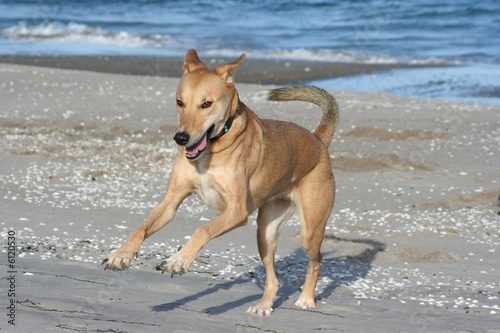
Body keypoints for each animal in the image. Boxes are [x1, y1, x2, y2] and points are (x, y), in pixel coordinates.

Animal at [104, 48, 342, 314]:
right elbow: (141, 228)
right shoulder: (171, 202)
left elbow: (202, 229)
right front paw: (121, 255)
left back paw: (307, 299)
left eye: (206, 104)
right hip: (265, 233)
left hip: (310, 229)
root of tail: (318, 141)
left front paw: (179, 260)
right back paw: (263, 306)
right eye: (180, 102)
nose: (180, 138)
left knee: (316, 260)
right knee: (273, 278)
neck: (211, 149)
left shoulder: (237, 211)